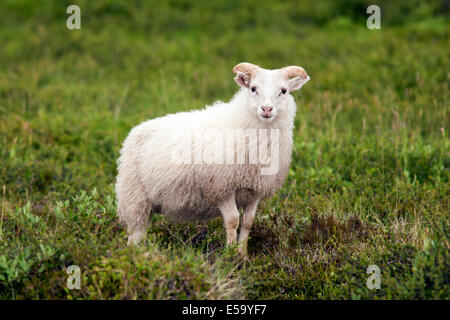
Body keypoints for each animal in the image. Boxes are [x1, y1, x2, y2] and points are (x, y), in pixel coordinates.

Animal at [116, 61, 310, 254]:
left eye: (283, 90)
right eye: (253, 88)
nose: (267, 109)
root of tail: (135, 130)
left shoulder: (255, 190)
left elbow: (247, 222)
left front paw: (243, 254)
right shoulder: (222, 187)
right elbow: (233, 220)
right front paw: (231, 253)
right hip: (134, 197)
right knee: (135, 232)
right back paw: (135, 256)